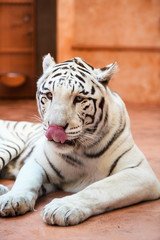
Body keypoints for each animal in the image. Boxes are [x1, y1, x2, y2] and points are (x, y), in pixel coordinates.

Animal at [0, 53, 160, 226]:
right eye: (49, 95)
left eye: (79, 98)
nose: (55, 127)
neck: (82, 150)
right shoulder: (37, 163)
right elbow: (26, 181)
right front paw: (12, 199)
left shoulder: (140, 171)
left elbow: (97, 189)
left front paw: (62, 208)